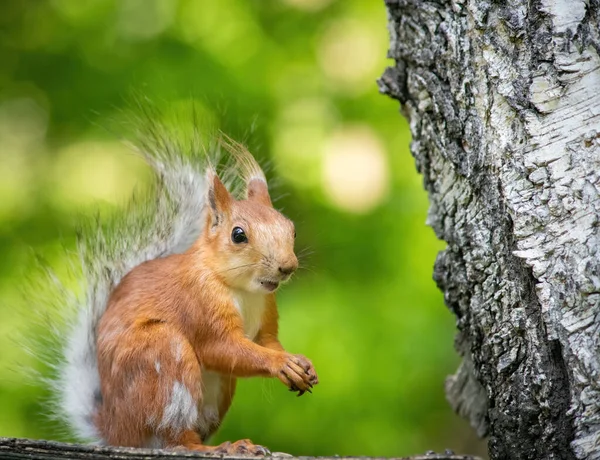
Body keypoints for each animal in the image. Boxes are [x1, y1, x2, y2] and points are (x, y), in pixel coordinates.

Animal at [48, 120, 318, 454]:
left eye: (290, 228)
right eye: (238, 235)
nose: (287, 267)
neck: (243, 290)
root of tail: (116, 432)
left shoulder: (267, 310)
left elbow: (268, 340)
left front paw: (299, 363)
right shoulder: (199, 303)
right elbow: (222, 348)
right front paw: (280, 362)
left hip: (219, 388)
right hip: (162, 357)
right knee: (175, 440)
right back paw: (218, 448)